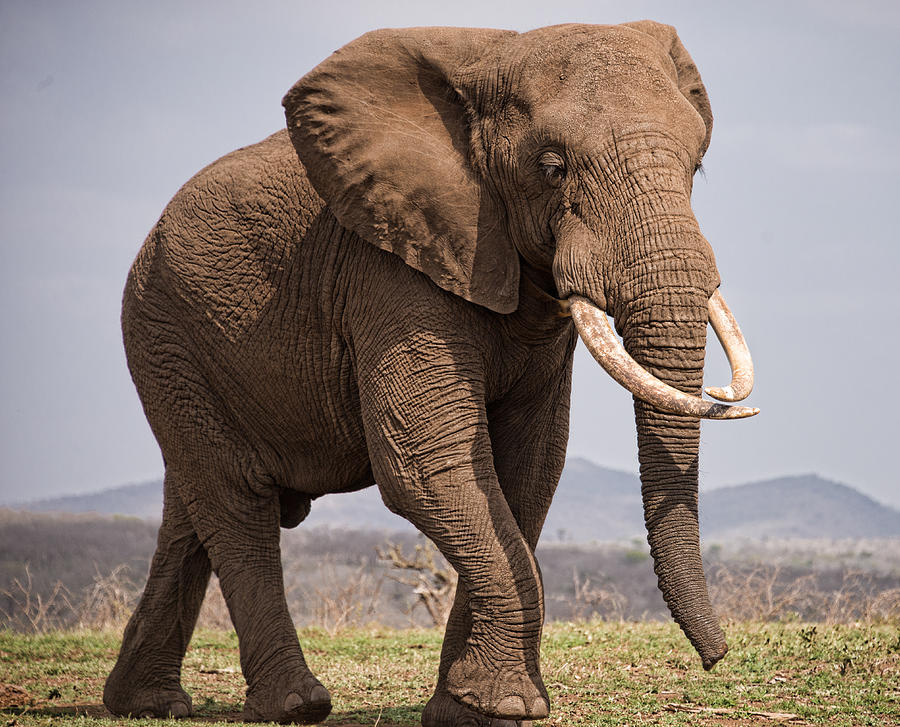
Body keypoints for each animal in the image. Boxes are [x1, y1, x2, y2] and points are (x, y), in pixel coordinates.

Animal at [105, 21, 760, 727]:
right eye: (551, 167)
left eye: (697, 165)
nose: (716, 658)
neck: (494, 56)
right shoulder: (391, 269)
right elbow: (429, 463)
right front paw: (506, 704)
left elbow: (527, 470)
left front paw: (469, 712)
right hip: (164, 334)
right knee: (235, 501)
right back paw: (294, 705)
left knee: (191, 507)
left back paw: (145, 703)